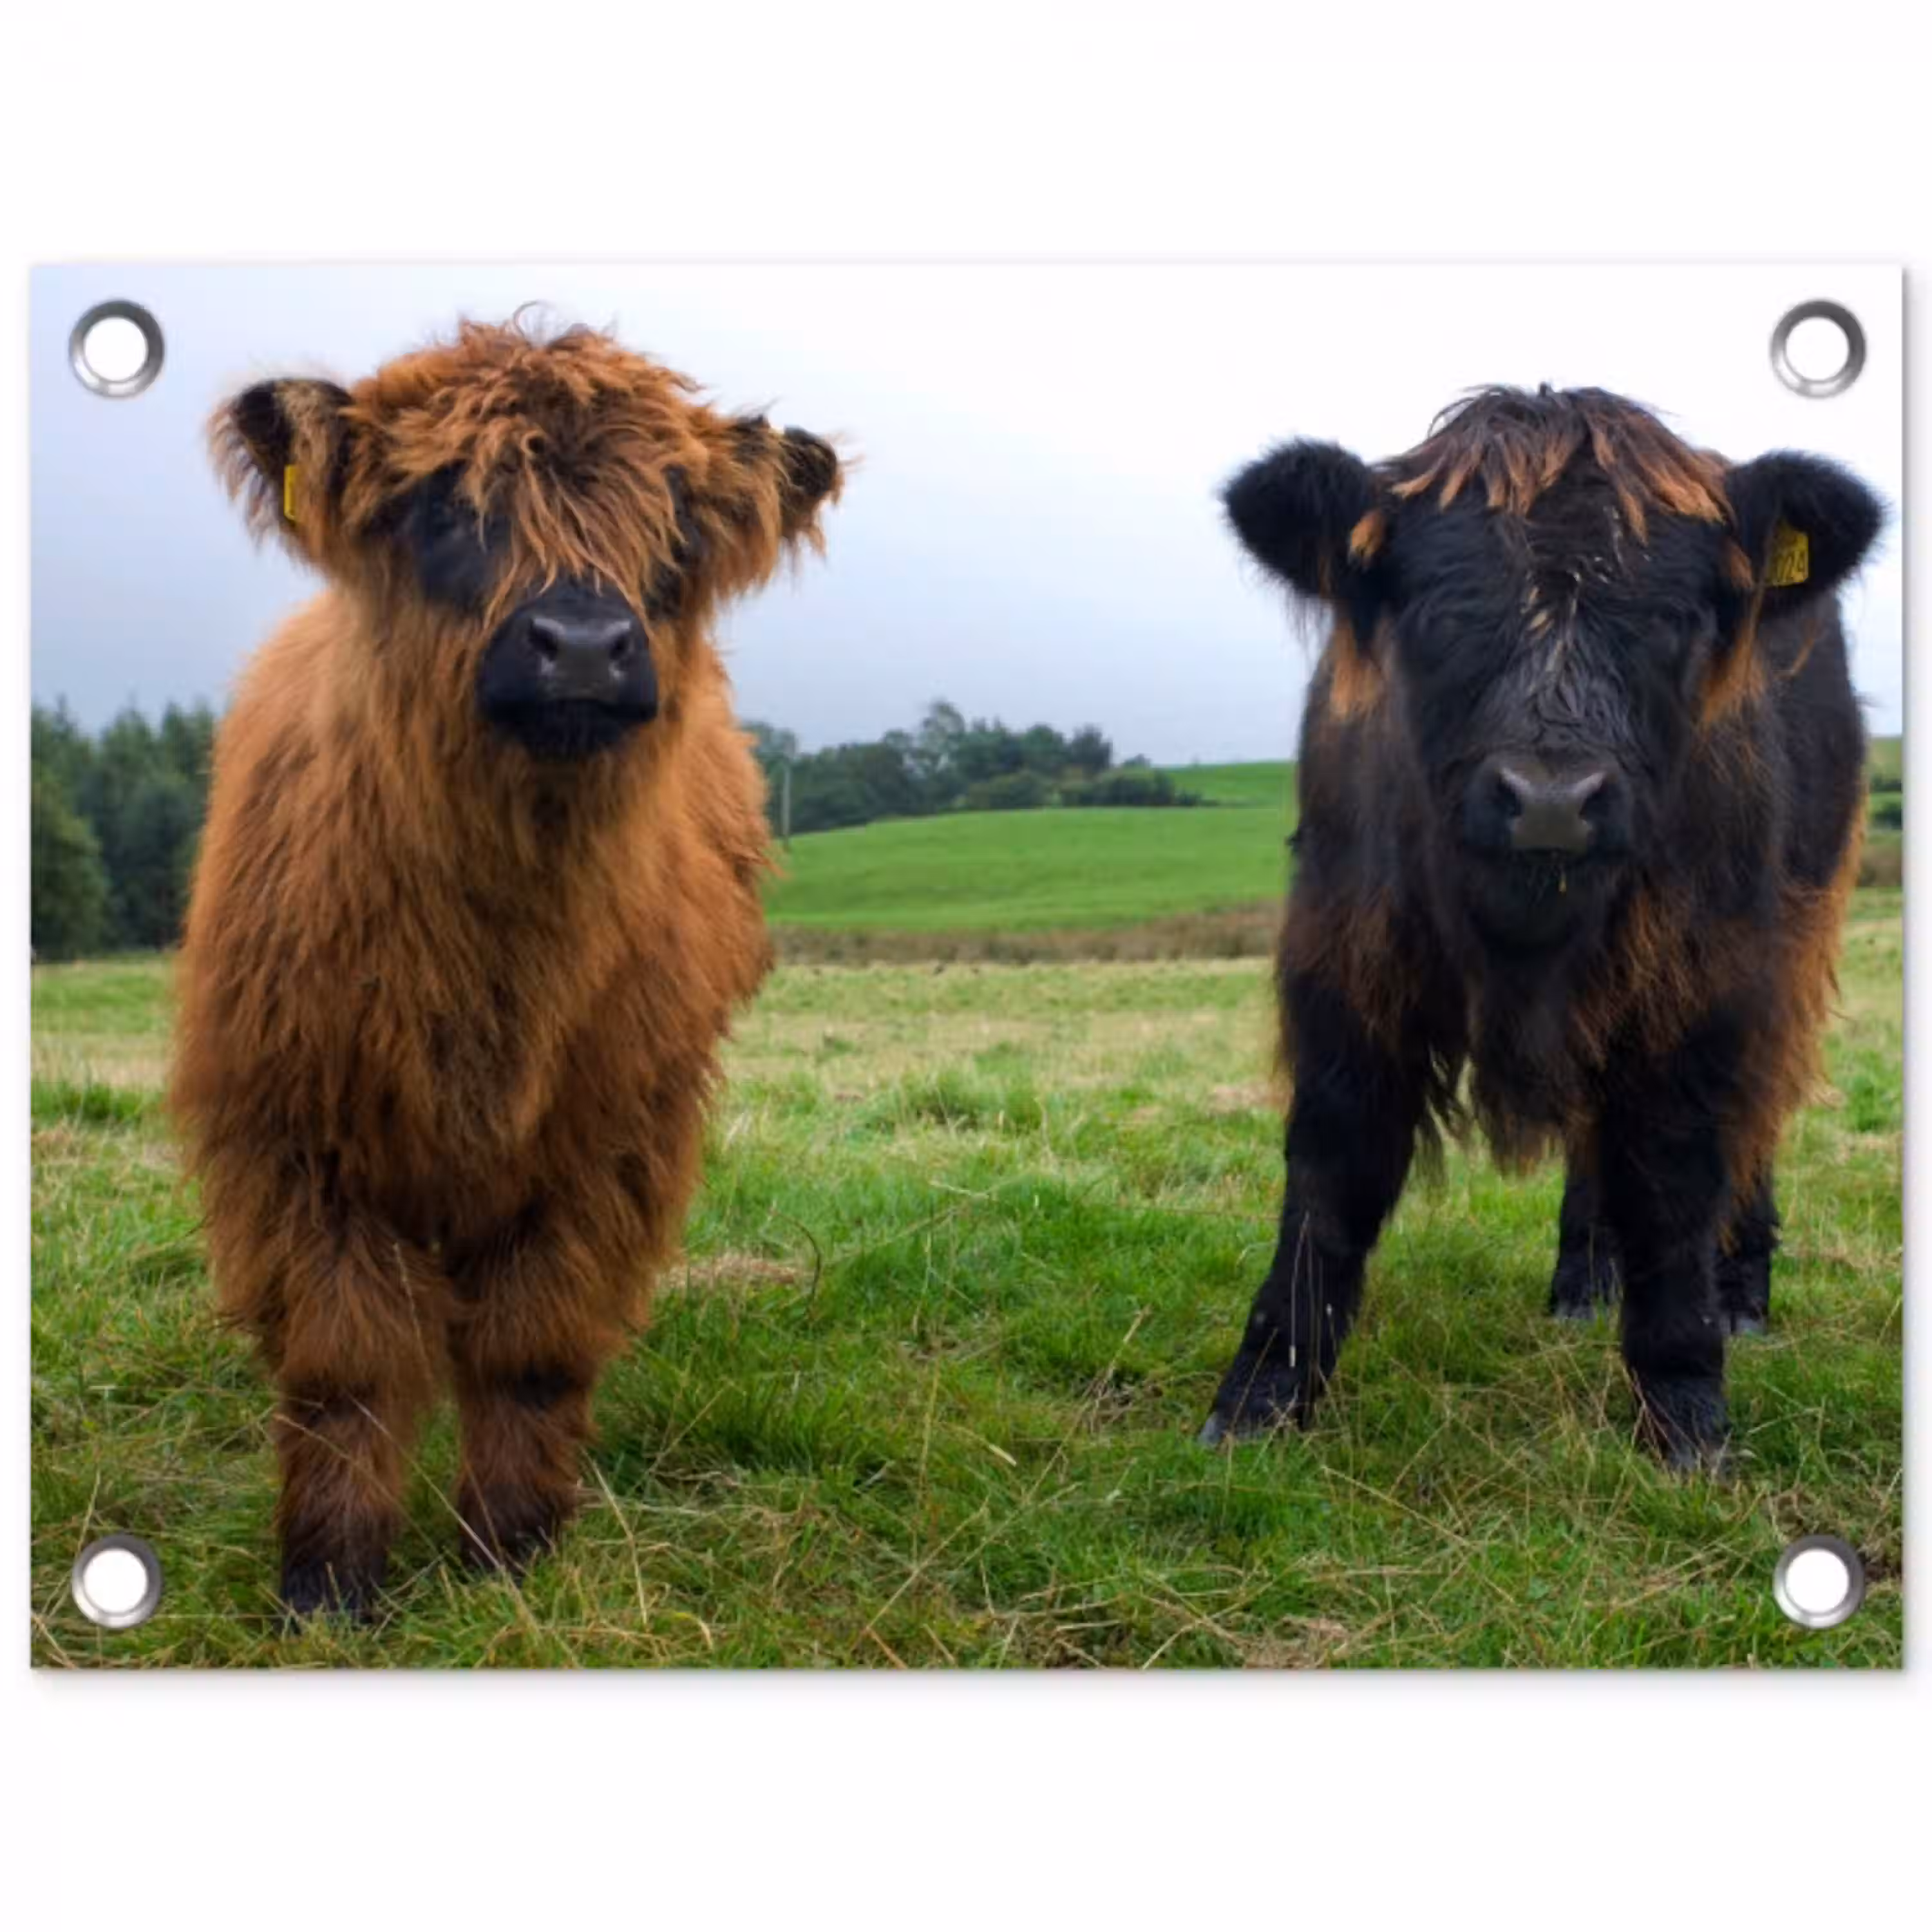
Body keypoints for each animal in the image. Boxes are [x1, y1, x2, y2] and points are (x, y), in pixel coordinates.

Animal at [170, 318, 841, 1616]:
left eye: (677, 522)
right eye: (442, 505)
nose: (581, 645)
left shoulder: (608, 1142)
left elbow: (534, 1346)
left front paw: (511, 1550)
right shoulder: (292, 1136)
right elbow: (343, 1362)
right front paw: (329, 1579)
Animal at [1199, 386, 1881, 1469]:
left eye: (1677, 618)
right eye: (1435, 611)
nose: (1553, 801)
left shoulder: (1707, 980)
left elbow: (1678, 1173)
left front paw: (1685, 1409)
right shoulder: (1345, 960)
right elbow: (1332, 1169)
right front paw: (1263, 1395)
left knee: (1756, 1121)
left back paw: (1741, 1297)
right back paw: (1582, 1281)